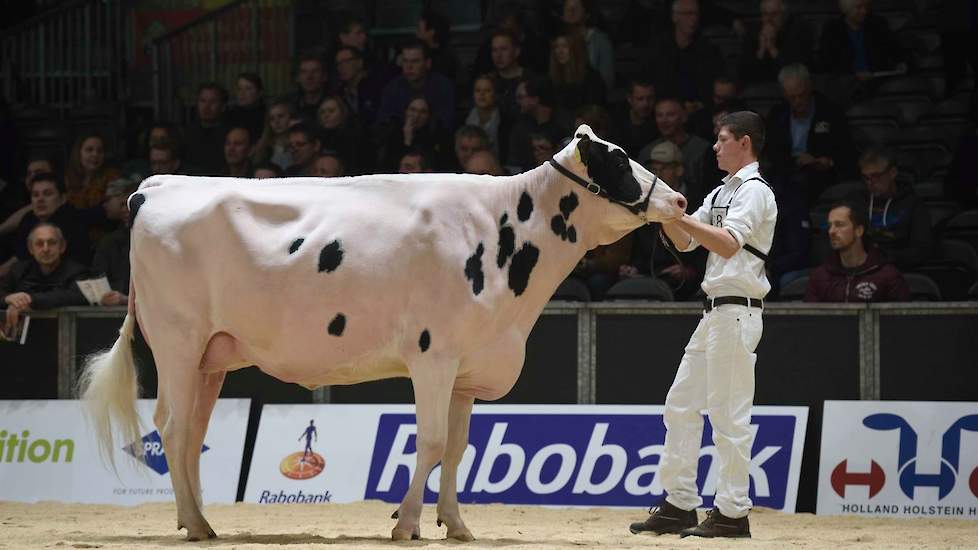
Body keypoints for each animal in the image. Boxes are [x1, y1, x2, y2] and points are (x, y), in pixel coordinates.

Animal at [80, 125, 684, 544]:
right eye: (619, 160)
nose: (679, 202)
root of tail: (157, 185)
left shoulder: (466, 367)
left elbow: (459, 447)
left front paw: (456, 524)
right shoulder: (434, 355)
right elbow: (433, 441)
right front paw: (407, 523)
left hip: (212, 355)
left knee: (191, 433)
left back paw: (200, 520)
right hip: (177, 342)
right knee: (173, 427)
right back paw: (195, 523)